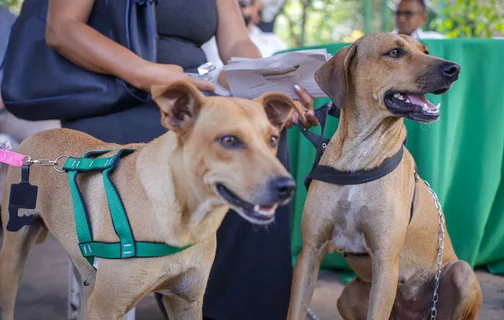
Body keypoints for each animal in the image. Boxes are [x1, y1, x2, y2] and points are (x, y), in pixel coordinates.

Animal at [0, 80, 306, 320]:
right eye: (229, 140)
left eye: (273, 139)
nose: (287, 187)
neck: (183, 222)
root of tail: (31, 144)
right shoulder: (104, 308)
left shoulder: (187, 302)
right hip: (14, 255)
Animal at [288, 33, 480, 320]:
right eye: (394, 52)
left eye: (425, 50)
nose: (454, 69)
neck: (361, 153)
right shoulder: (310, 252)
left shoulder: (386, 260)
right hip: (347, 296)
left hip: (462, 273)